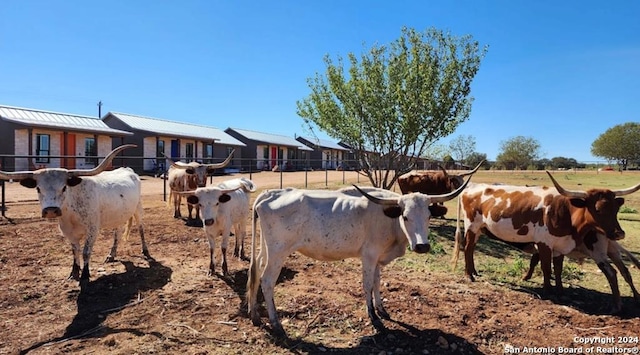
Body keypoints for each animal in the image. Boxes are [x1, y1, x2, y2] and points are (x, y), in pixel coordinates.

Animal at [0, 145, 150, 286]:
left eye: (64, 187)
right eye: (38, 188)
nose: (51, 210)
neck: (71, 212)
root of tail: (128, 170)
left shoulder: (92, 230)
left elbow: (85, 252)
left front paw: (85, 275)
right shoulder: (69, 232)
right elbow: (75, 251)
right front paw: (74, 272)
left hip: (138, 209)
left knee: (141, 228)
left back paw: (145, 251)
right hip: (118, 215)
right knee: (117, 233)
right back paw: (111, 255)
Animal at [450, 172, 640, 300]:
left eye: (616, 209)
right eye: (598, 209)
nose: (619, 233)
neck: (567, 212)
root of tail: (471, 188)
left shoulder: (560, 245)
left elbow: (557, 269)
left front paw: (560, 290)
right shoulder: (544, 243)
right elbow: (546, 267)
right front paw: (548, 291)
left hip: (479, 229)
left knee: (472, 248)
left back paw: (474, 271)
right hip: (471, 226)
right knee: (468, 248)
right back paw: (469, 275)